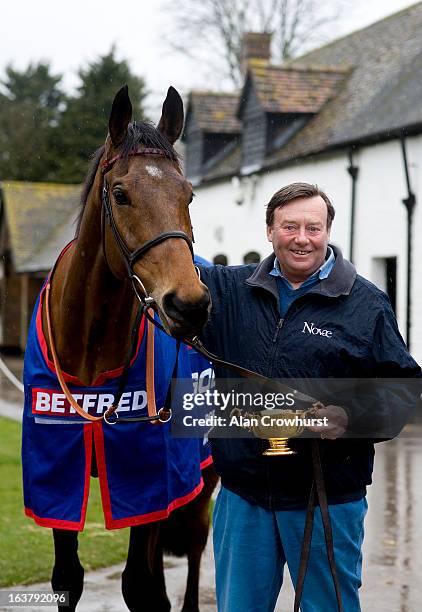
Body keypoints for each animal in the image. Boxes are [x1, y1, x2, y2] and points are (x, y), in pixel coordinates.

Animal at [21, 83, 218, 608]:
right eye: (121, 193)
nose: (188, 304)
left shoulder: (147, 475)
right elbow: (67, 579)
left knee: (194, 547)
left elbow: (141, 586)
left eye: (189, 194)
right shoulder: (57, 465)